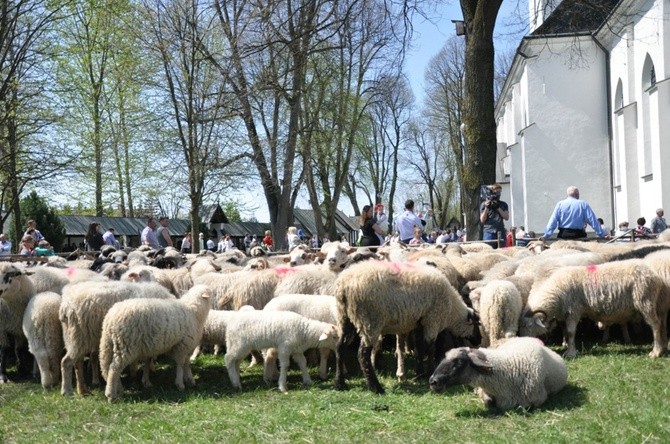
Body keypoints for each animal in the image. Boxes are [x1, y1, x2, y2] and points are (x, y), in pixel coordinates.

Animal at [520, 260, 670, 358]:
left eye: (528, 325)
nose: (523, 339)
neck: (556, 292)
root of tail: (655, 276)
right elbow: (566, 332)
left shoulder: (574, 310)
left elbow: (570, 333)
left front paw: (570, 352)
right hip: (656, 303)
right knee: (662, 323)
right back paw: (663, 347)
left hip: (645, 300)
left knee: (655, 325)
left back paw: (656, 352)